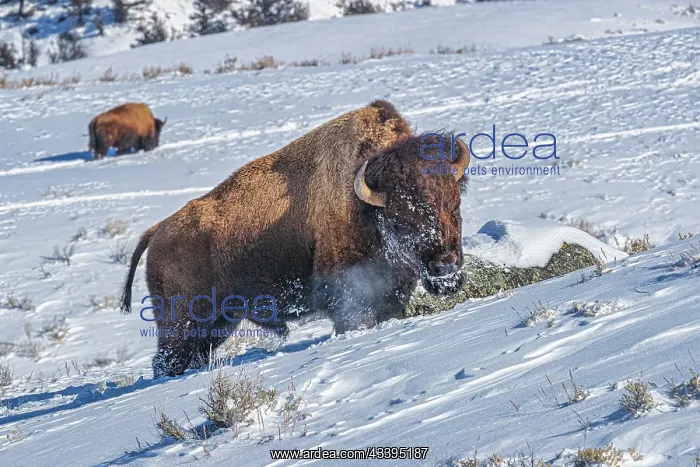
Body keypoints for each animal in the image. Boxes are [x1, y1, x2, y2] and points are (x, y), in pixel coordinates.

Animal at [120, 100, 470, 377]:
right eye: (400, 221)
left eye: (455, 206)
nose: (445, 266)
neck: (366, 207)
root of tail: (158, 230)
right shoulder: (348, 295)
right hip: (182, 322)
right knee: (167, 359)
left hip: (219, 321)